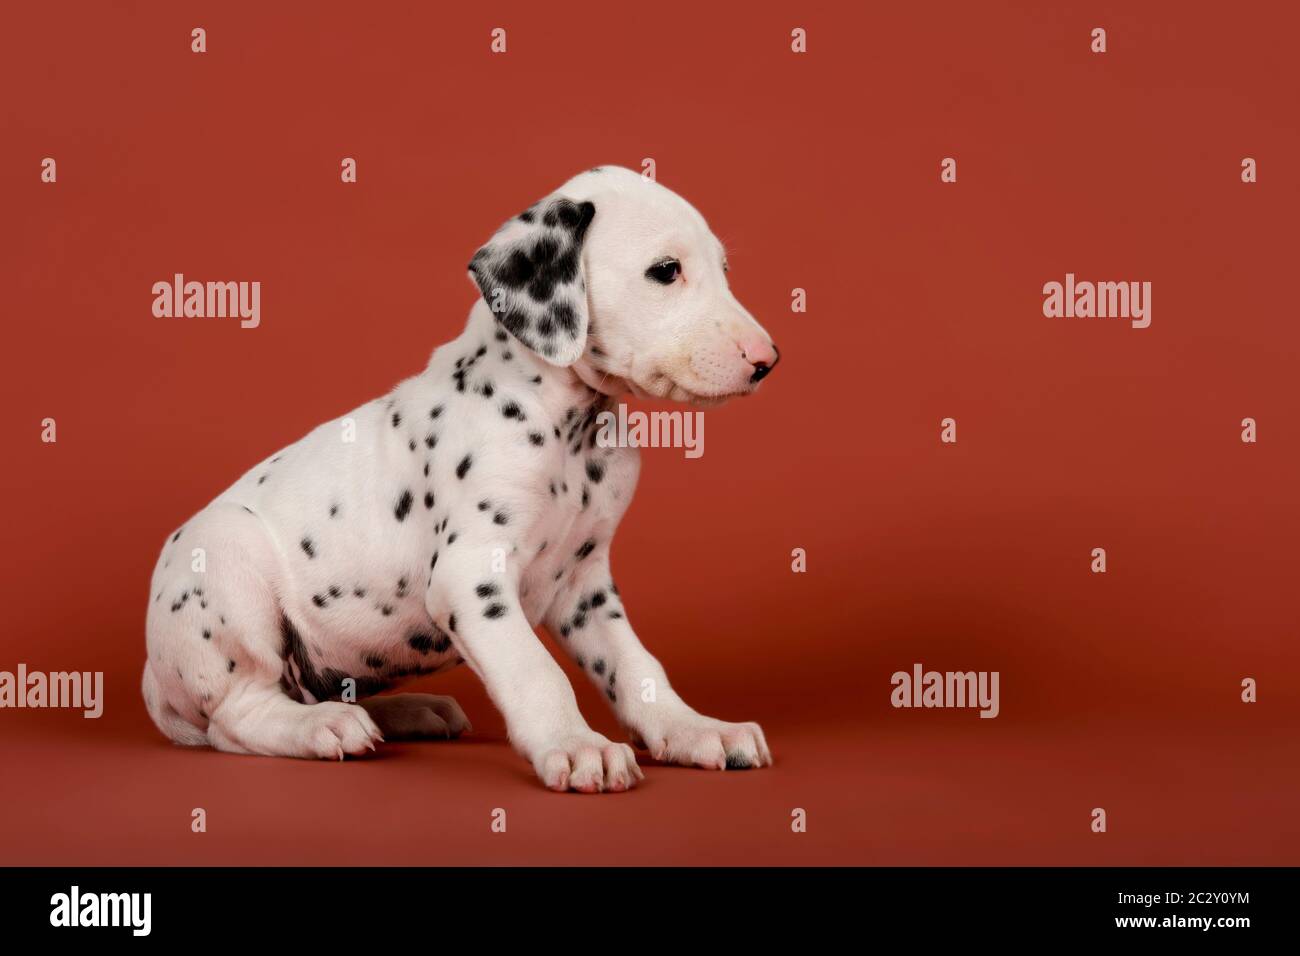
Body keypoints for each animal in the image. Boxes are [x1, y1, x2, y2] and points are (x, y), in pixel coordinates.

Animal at [147, 166, 785, 790]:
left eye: (723, 270)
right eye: (666, 271)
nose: (767, 359)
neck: (569, 431)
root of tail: (153, 682)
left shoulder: (586, 587)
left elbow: (635, 667)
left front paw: (695, 729)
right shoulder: (473, 577)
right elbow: (536, 670)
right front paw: (577, 745)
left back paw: (401, 712)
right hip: (226, 560)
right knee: (241, 715)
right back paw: (323, 726)